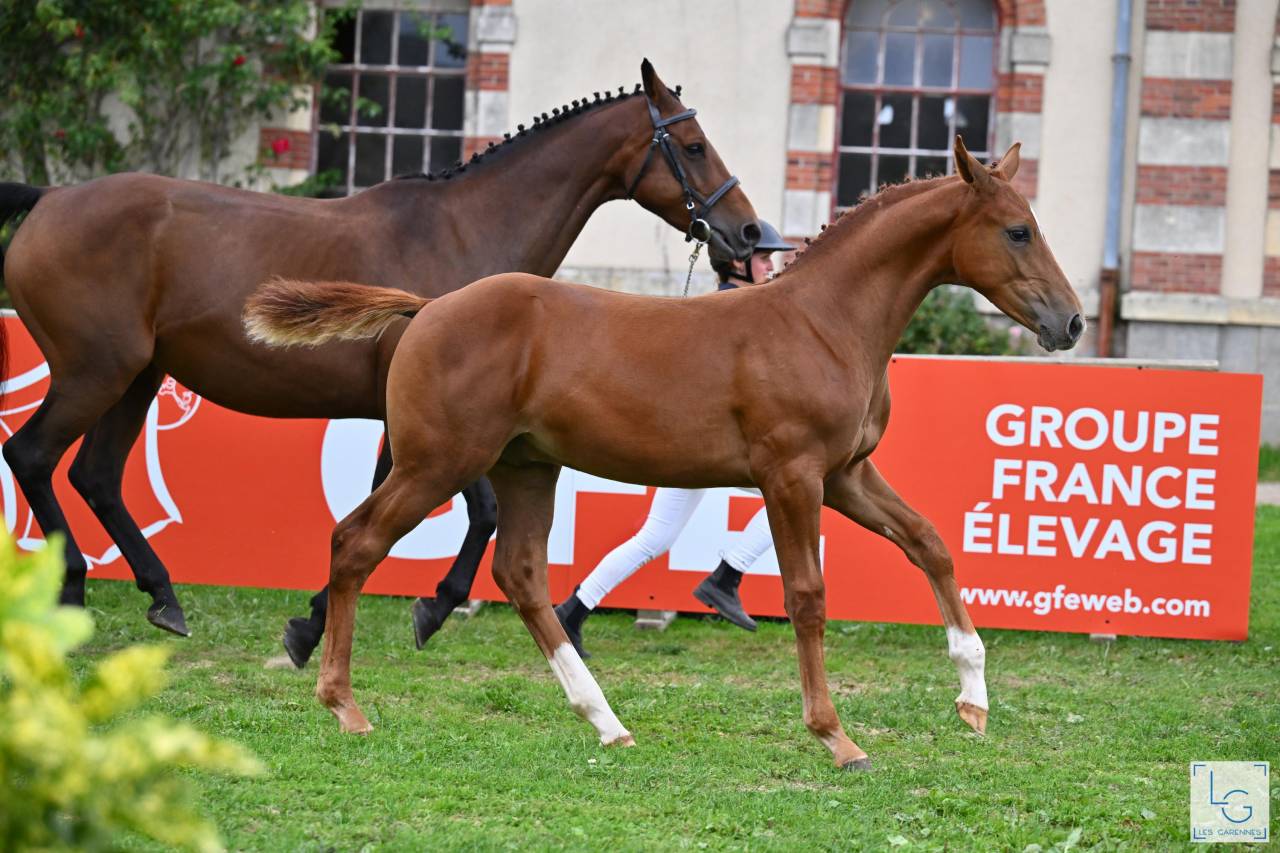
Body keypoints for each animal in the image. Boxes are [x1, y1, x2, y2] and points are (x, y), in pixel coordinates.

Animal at [0, 59, 760, 650]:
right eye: (693, 145)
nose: (749, 232)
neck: (463, 233)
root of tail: (51, 196)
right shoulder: (447, 423)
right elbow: (476, 512)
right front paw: (431, 606)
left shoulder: (409, 422)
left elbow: (379, 512)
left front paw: (312, 623)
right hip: (95, 373)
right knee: (32, 456)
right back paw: (72, 594)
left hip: (137, 376)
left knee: (96, 475)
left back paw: (163, 596)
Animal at [244, 135, 1083, 769]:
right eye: (1017, 230)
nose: (1070, 322)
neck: (824, 320)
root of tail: (428, 307)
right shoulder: (792, 475)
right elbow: (807, 595)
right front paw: (836, 736)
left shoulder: (846, 473)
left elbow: (930, 542)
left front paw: (973, 698)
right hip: (436, 462)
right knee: (356, 542)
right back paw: (344, 703)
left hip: (525, 466)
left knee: (521, 574)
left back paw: (607, 721)